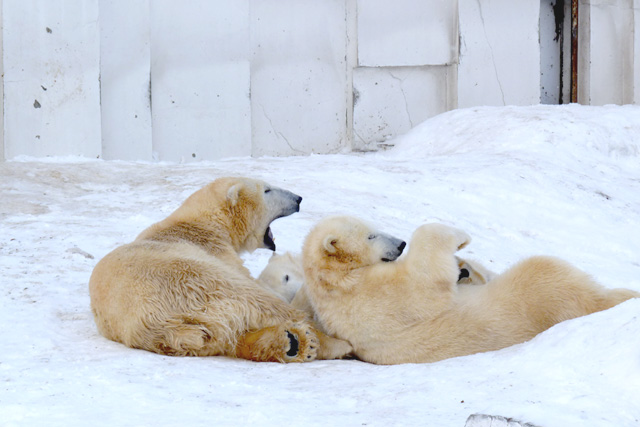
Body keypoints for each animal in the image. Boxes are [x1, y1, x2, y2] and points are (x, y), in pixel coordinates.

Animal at [89, 178, 350, 364]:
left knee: (228, 338)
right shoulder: (214, 251)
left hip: (193, 332)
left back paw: (295, 343)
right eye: (267, 189)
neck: (203, 223)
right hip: (195, 279)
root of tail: (161, 324)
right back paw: (331, 343)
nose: (298, 198)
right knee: (259, 302)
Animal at [302, 216, 640, 366]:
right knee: (552, 275)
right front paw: (459, 237)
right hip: (530, 297)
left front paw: (464, 267)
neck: (335, 281)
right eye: (371, 235)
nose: (399, 243)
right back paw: (625, 297)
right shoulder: (376, 295)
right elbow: (426, 279)